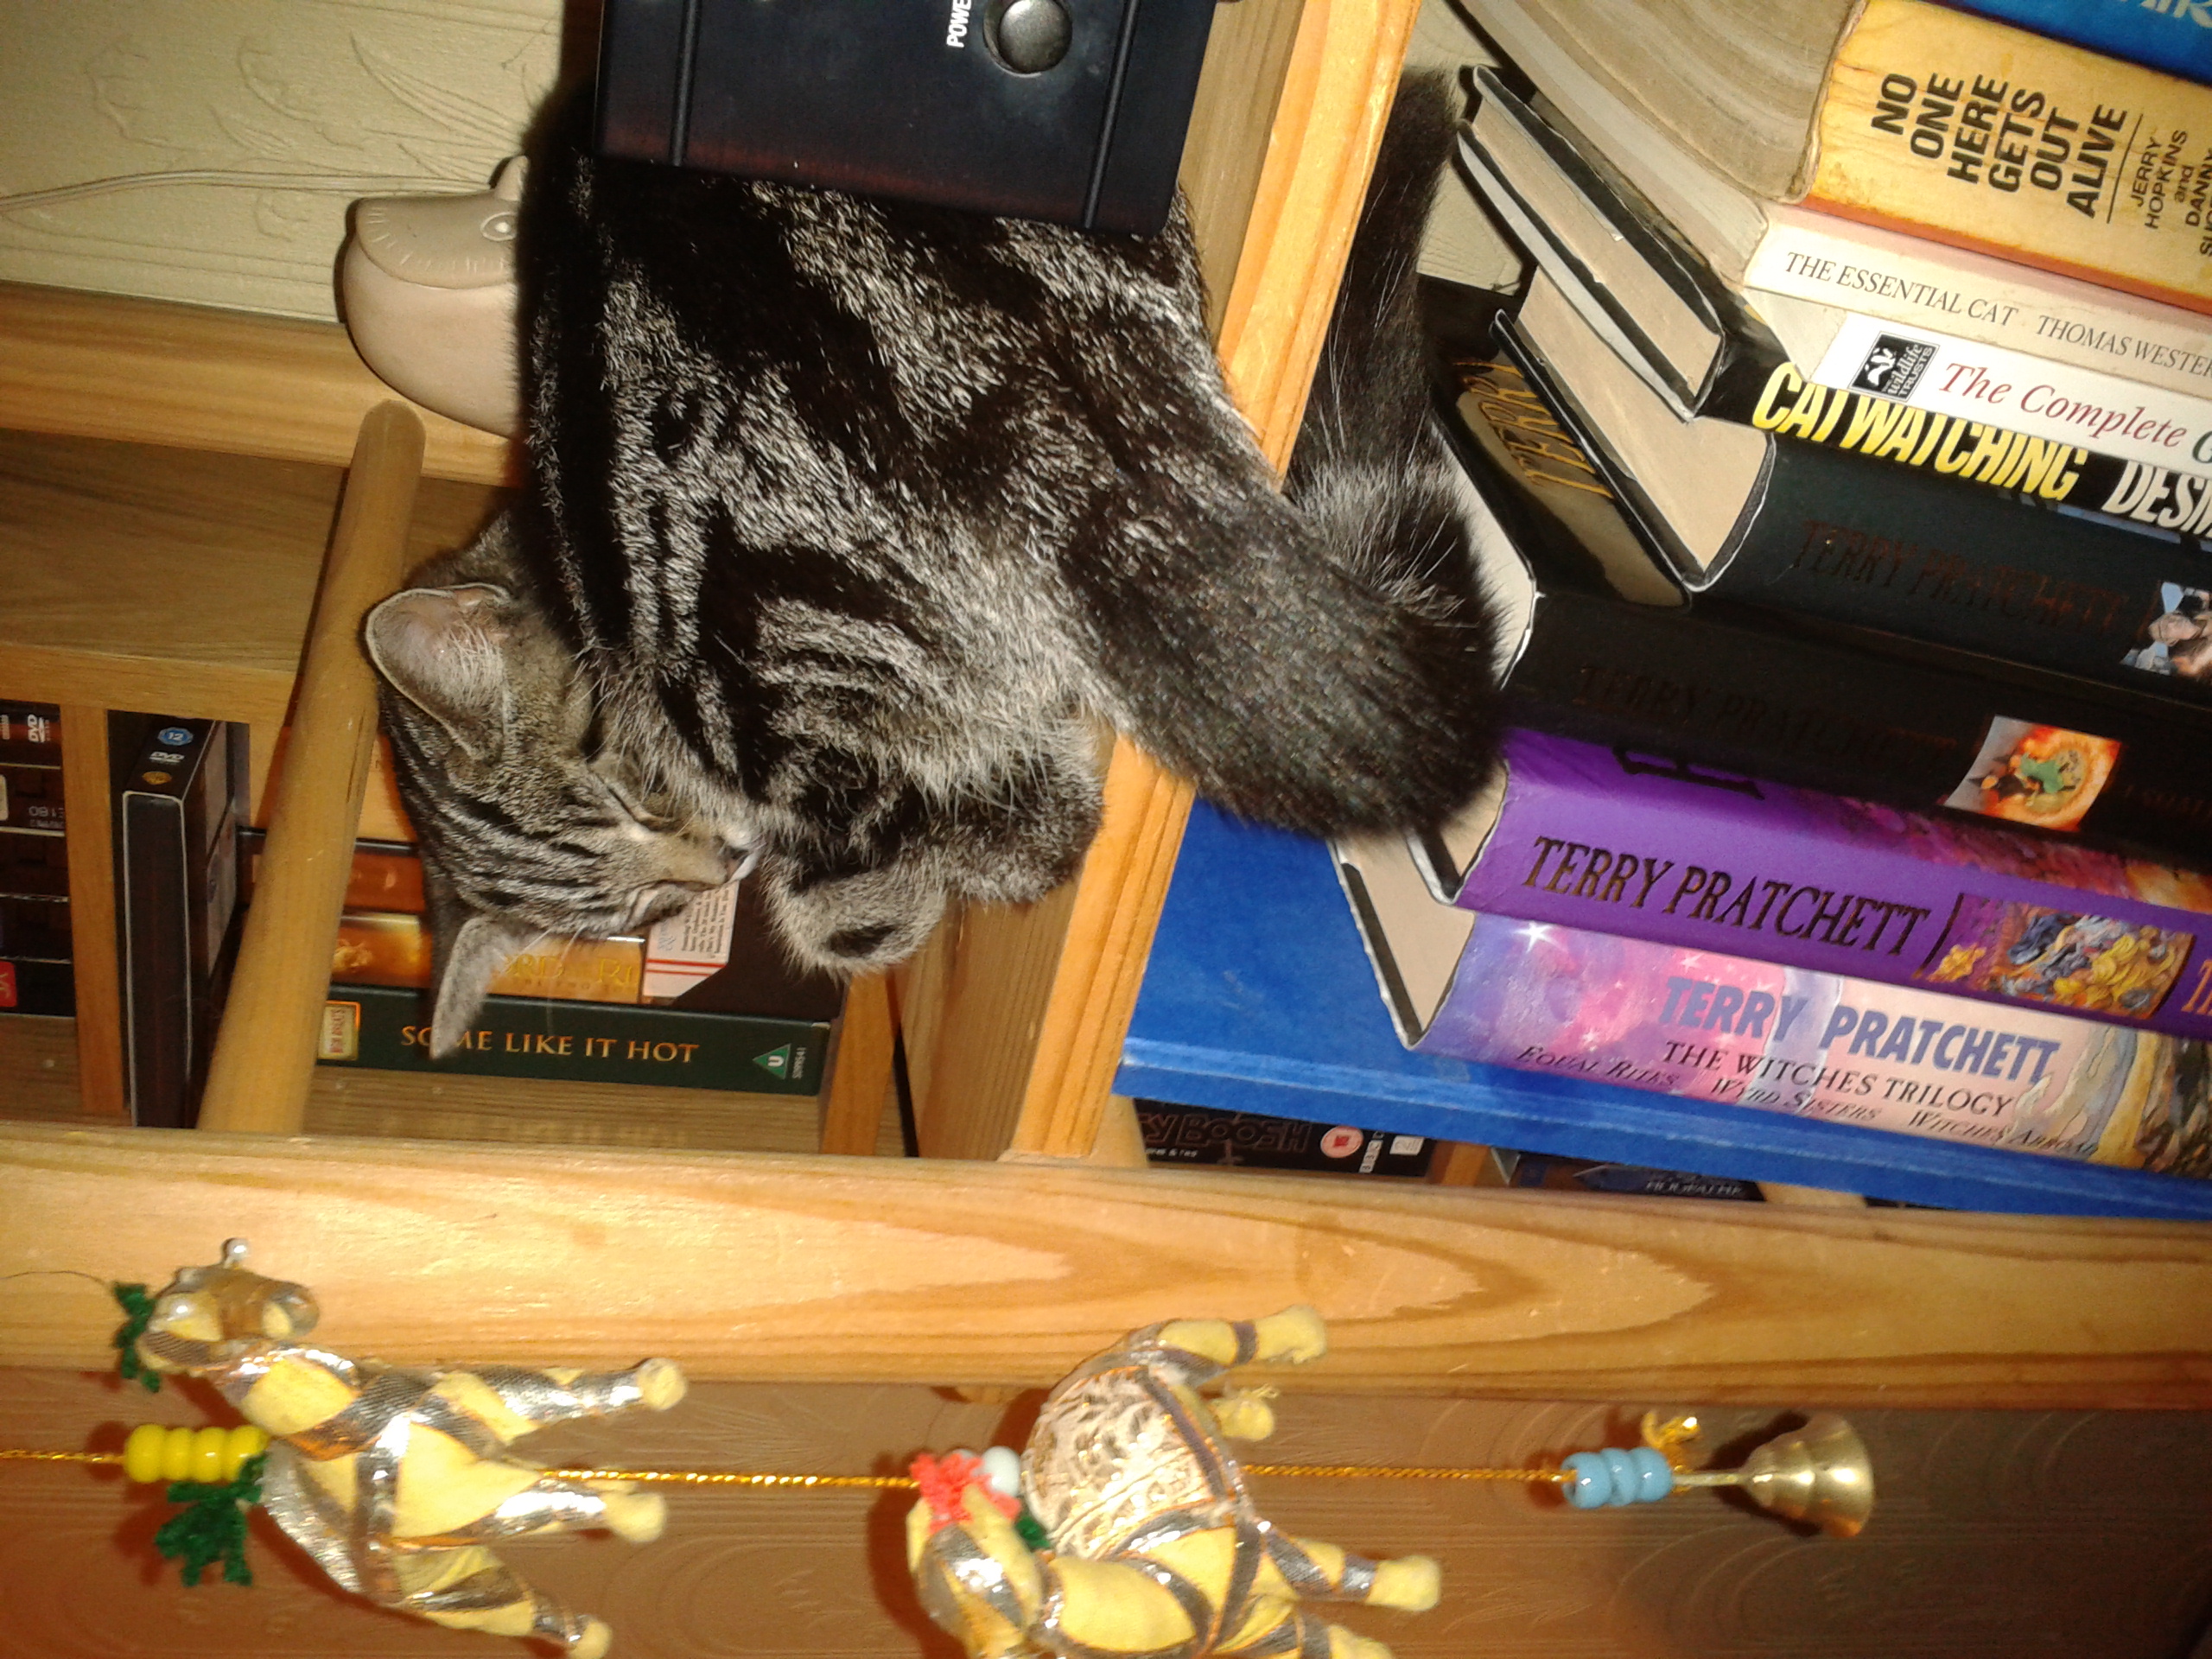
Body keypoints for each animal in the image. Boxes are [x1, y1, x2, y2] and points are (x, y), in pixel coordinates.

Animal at [367, 70, 1501, 1056]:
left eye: (637, 795)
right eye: (652, 906)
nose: (721, 867)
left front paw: (864, 900)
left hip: (748, 665)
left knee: (1033, 817)